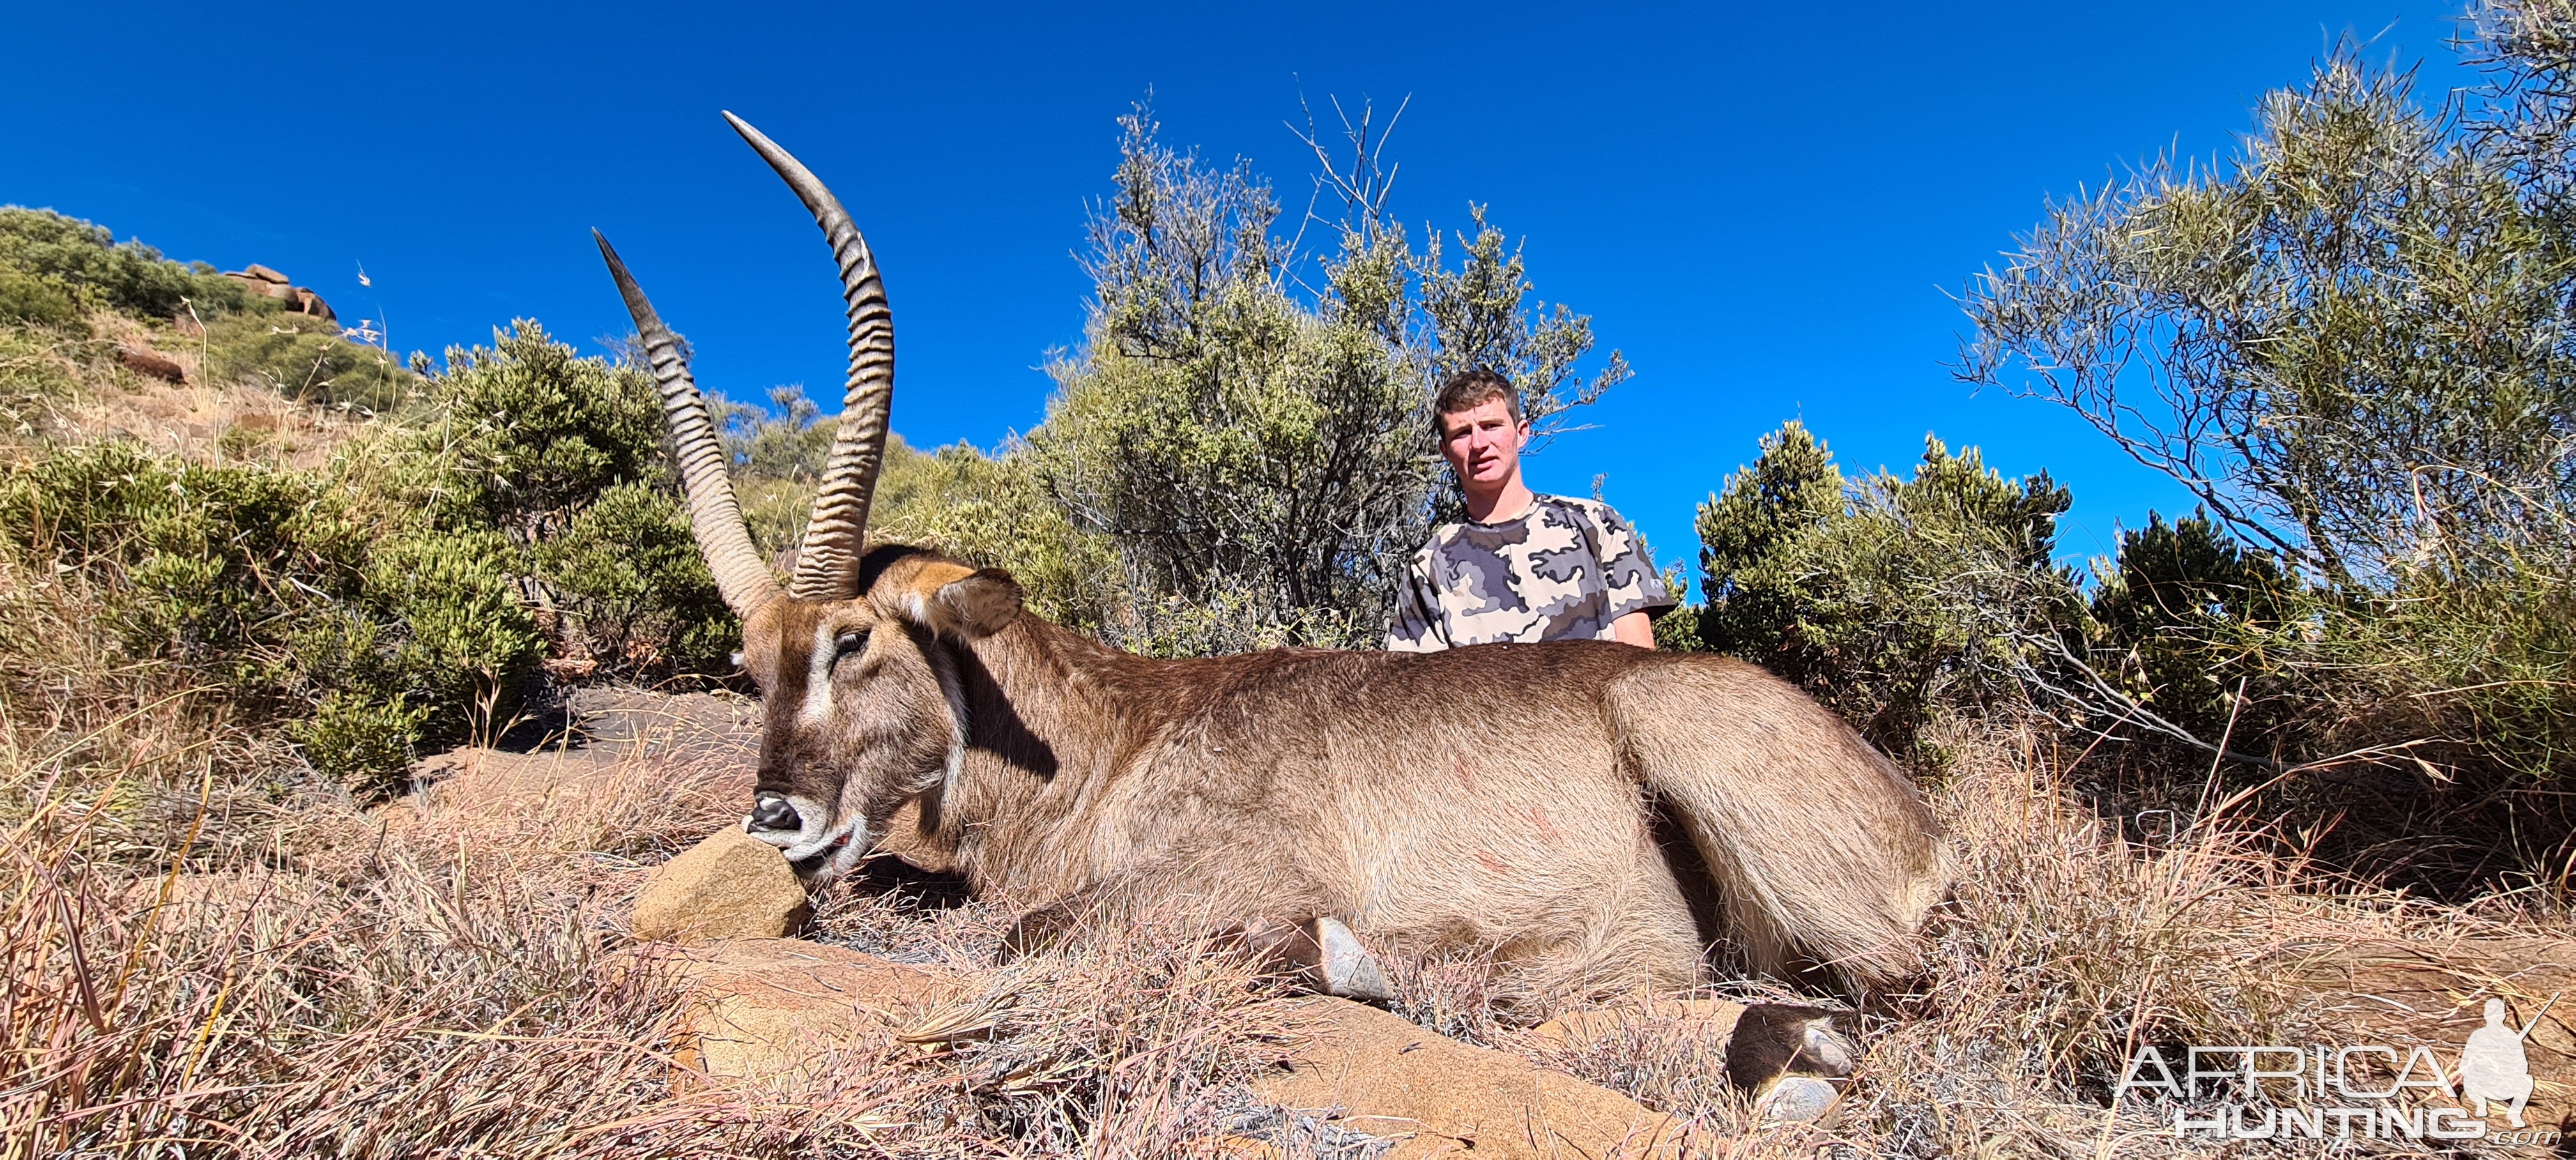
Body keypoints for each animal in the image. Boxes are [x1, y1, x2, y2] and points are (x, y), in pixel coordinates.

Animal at [590, 113, 1947, 989]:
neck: (1114, 738)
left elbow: (1032, 935)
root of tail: (1918, 822)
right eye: (748, 666)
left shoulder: (1225, 876)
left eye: (853, 641)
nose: (775, 824)